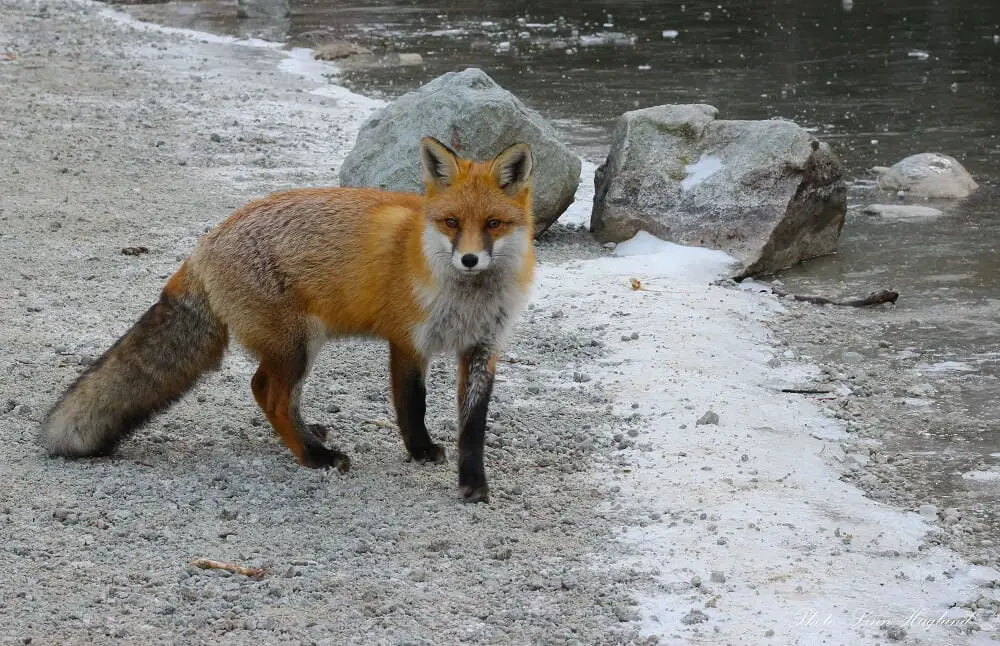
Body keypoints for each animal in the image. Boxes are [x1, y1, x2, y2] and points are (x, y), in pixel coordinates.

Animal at [41, 137, 532, 506]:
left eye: (493, 223)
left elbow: (474, 424)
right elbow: (413, 405)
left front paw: (473, 483)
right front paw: (420, 450)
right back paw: (314, 456)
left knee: (277, 396)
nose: (469, 260)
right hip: (298, 345)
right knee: (269, 393)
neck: (466, 299)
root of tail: (204, 245)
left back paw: (308, 436)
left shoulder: (483, 347)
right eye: (451, 222)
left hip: (300, 346)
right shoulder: (408, 340)